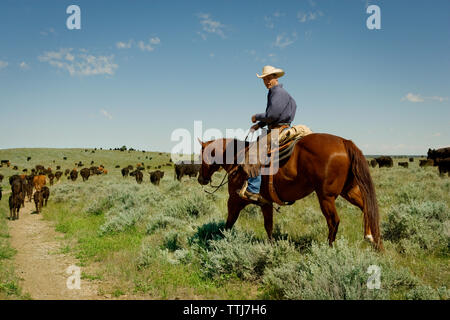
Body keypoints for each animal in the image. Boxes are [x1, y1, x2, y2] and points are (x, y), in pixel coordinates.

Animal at [197, 132, 384, 250]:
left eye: (201, 156)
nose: (201, 179)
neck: (237, 159)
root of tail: (345, 142)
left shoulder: (235, 201)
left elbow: (228, 224)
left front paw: (221, 242)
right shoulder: (266, 203)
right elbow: (268, 226)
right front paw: (271, 246)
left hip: (326, 196)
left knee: (334, 221)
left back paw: (329, 250)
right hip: (349, 190)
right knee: (367, 208)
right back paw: (374, 242)